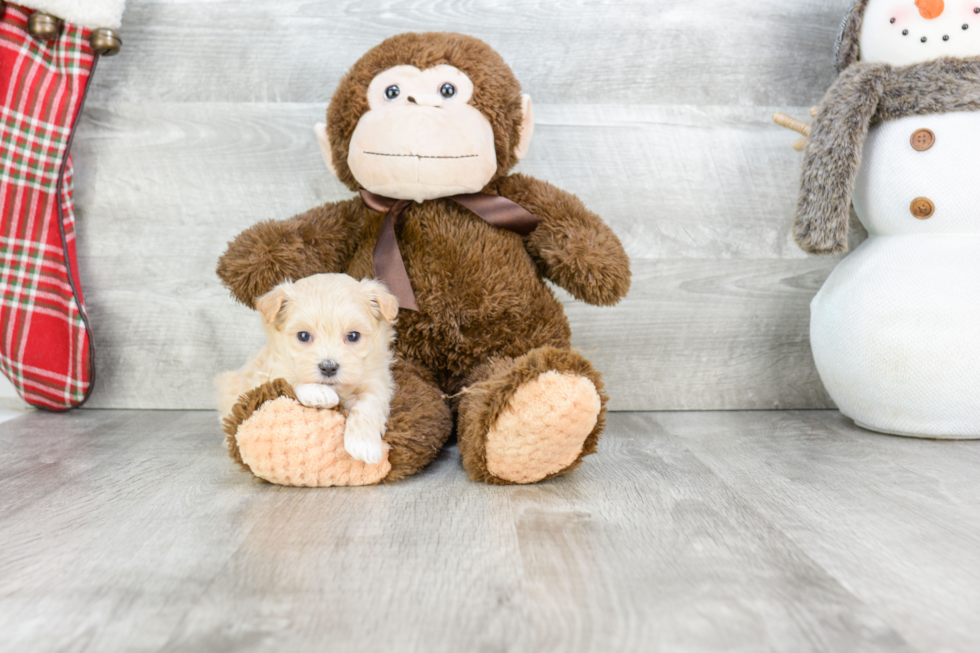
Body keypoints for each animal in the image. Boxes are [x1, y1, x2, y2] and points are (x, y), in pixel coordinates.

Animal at [216, 274, 396, 464]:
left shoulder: (377, 381)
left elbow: (369, 404)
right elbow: (288, 380)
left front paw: (364, 444)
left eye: (353, 336)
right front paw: (318, 392)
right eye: (303, 336)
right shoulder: (268, 373)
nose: (328, 367)